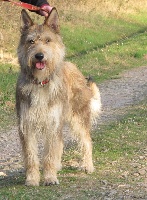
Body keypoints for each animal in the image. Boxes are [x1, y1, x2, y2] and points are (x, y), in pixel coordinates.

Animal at [16, 7, 101, 186]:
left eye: (48, 40)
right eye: (31, 41)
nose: (39, 56)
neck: (41, 83)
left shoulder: (52, 124)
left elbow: (49, 154)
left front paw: (49, 177)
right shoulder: (26, 126)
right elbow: (31, 156)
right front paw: (32, 179)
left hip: (78, 119)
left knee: (86, 141)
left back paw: (87, 165)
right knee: (61, 143)